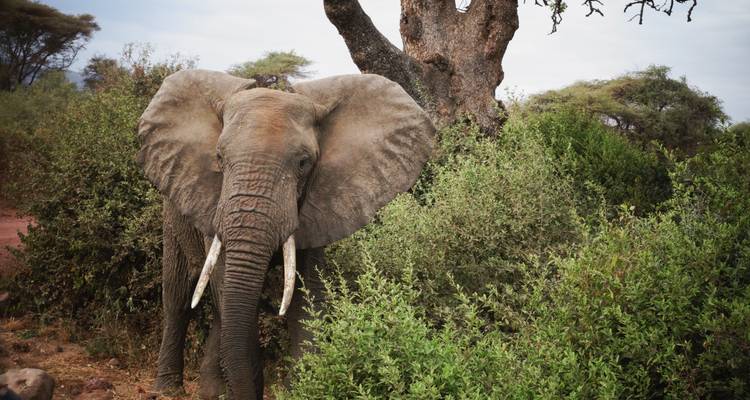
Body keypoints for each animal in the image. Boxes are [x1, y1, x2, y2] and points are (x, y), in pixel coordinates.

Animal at [136, 69, 435, 399]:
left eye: (304, 163)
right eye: (219, 157)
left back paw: (211, 391)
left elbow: (306, 295)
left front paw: (302, 387)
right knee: (179, 295)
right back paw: (167, 389)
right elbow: (228, 289)